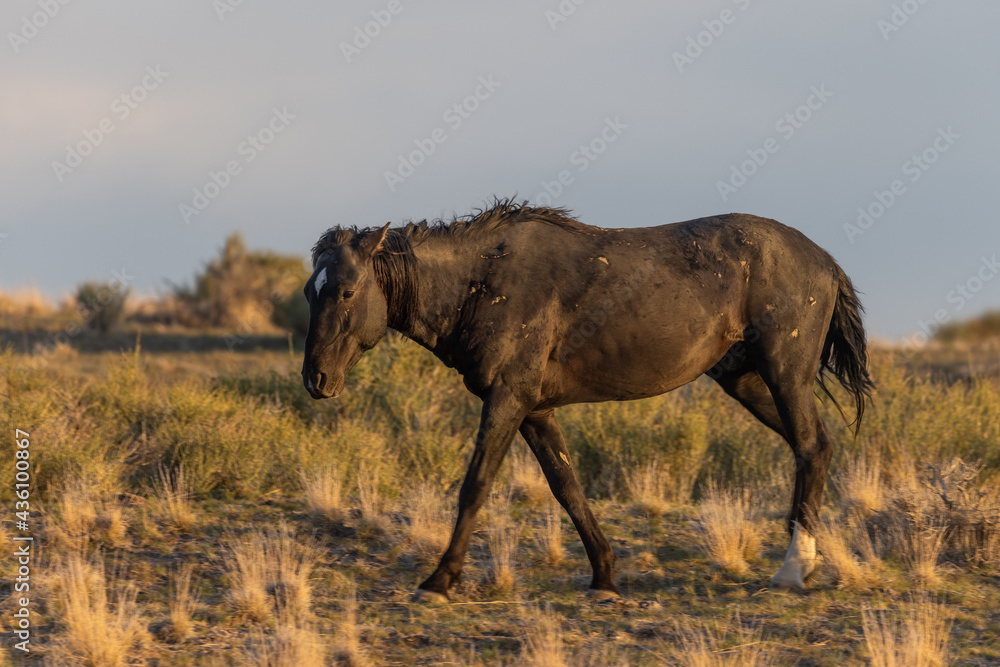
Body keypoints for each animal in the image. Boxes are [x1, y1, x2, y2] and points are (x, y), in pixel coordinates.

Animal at [301, 199, 874, 601]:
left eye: (347, 291)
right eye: (311, 291)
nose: (316, 378)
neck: (481, 281)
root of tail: (824, 260)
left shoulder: (508, 400)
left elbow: (476, 486)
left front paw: (439, 581)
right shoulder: (535, 410)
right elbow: (567, 488)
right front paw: (604, 576)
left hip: (785, 375)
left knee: (810, 447)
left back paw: (793, 569)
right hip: (746, 381)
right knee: (813, 449)